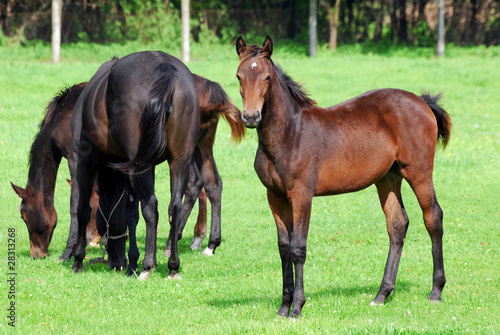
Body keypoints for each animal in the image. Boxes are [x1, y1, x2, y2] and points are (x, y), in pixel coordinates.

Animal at [71, 51, 200, 278]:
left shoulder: (85, 162)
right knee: (174, 206)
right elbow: (132, 214)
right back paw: (172, 266)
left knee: (151, 206)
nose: (115, 262)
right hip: (178, 161)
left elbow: (83, 209)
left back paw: (148, 266)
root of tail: (164, 66)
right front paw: (132, 261)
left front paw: (78, 260)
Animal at [236, 36, 452, 318]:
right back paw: (381, 295)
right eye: (239, 76)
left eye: (267, 77)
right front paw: (283, 307)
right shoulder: (275, 197)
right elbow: (284, 248)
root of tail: (423, 102)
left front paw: (297, 307)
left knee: (433, 218)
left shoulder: (302, 195)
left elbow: (298, 248)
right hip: (388, 178)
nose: (251, 117)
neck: (289, 134)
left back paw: (436, 291)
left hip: (418, 171)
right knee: (397, 224)